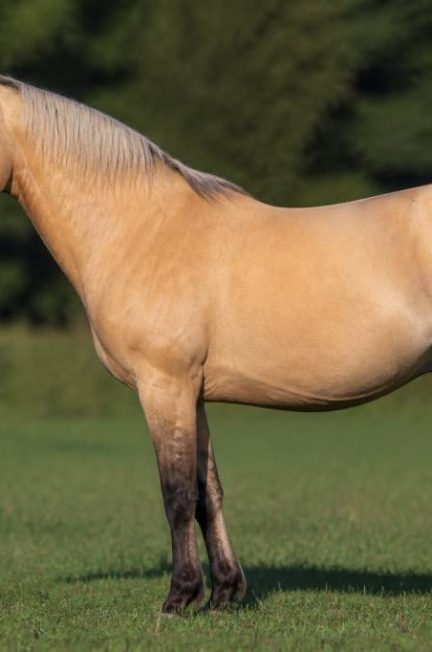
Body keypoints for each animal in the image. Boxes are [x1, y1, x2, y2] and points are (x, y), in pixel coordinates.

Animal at [0, 75, 431, 613]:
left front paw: (180, 597)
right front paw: (225, 593)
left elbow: (178, 493)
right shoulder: (192, 393)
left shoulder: (163, 386)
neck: (143, 230)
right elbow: (209, 493)